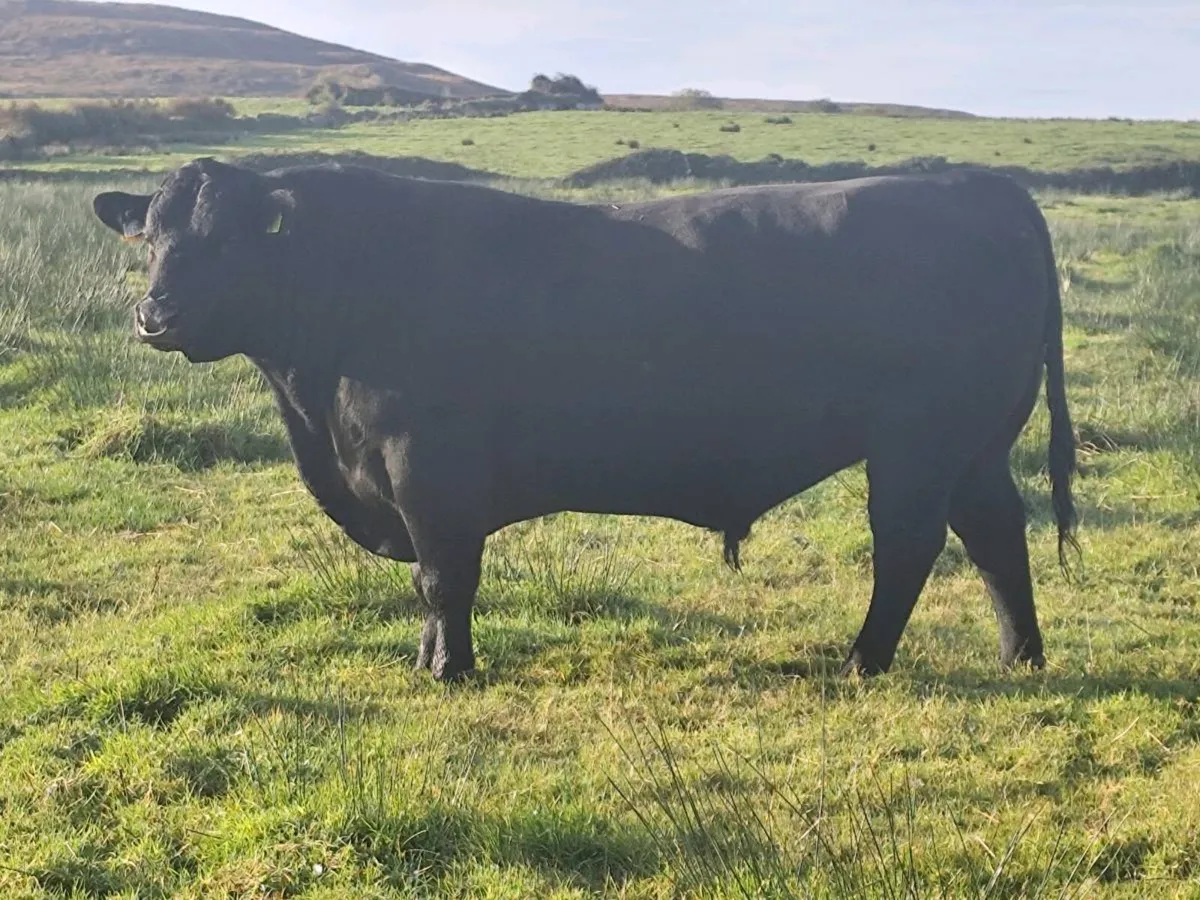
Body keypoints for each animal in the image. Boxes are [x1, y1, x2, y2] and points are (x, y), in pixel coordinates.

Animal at [93, 158, 1076, 681]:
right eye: (149, 237)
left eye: (225, 238)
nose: (156, 315)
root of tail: (973, 184)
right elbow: (431, 584)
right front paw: (426, 660)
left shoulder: (429, 469)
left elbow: (445, 578)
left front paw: (450, 670)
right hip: (973, 448)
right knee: (997, 536)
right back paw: (1020, 656)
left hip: (918, 447)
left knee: (910, 544)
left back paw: (862, 661)